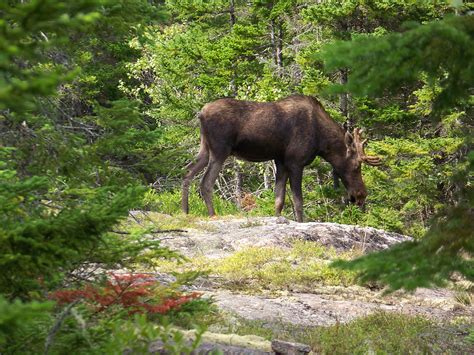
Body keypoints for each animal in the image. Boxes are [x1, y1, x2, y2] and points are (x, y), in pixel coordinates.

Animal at [181, 94, 382, 222]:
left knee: (187, 172)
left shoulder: (281, 161)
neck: (321, 142)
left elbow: (279, 199)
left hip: (205, 148)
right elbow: (298, 201)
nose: (361, 195)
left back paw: (185, 211)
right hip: (220, 150)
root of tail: (200, 114)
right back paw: (212, 214)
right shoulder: (295, 162)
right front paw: (301, 223)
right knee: (205, 182)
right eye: (356, 166)